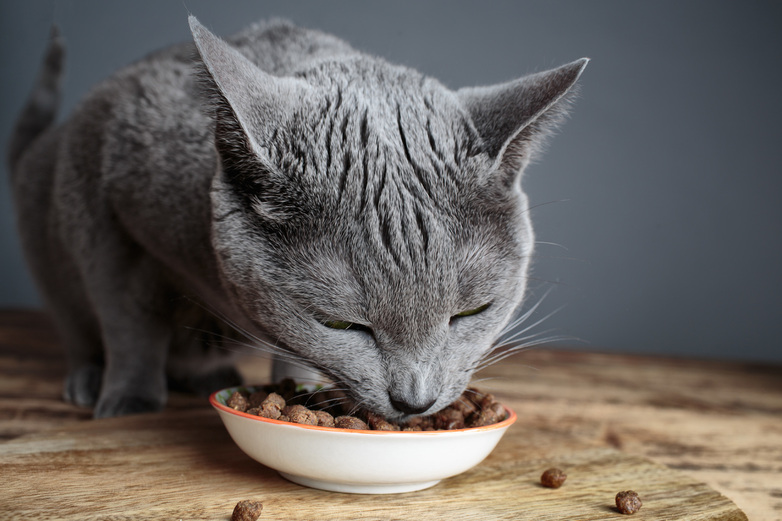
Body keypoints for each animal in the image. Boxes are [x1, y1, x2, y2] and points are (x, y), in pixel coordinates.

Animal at [7, 16, 588, 418]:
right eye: (340, 323)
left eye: (472, 312)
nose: (414, 402)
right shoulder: (108, 202)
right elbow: (129, 323)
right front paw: (130, 402)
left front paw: (302, 389)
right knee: (79, 324)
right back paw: (90, 380)